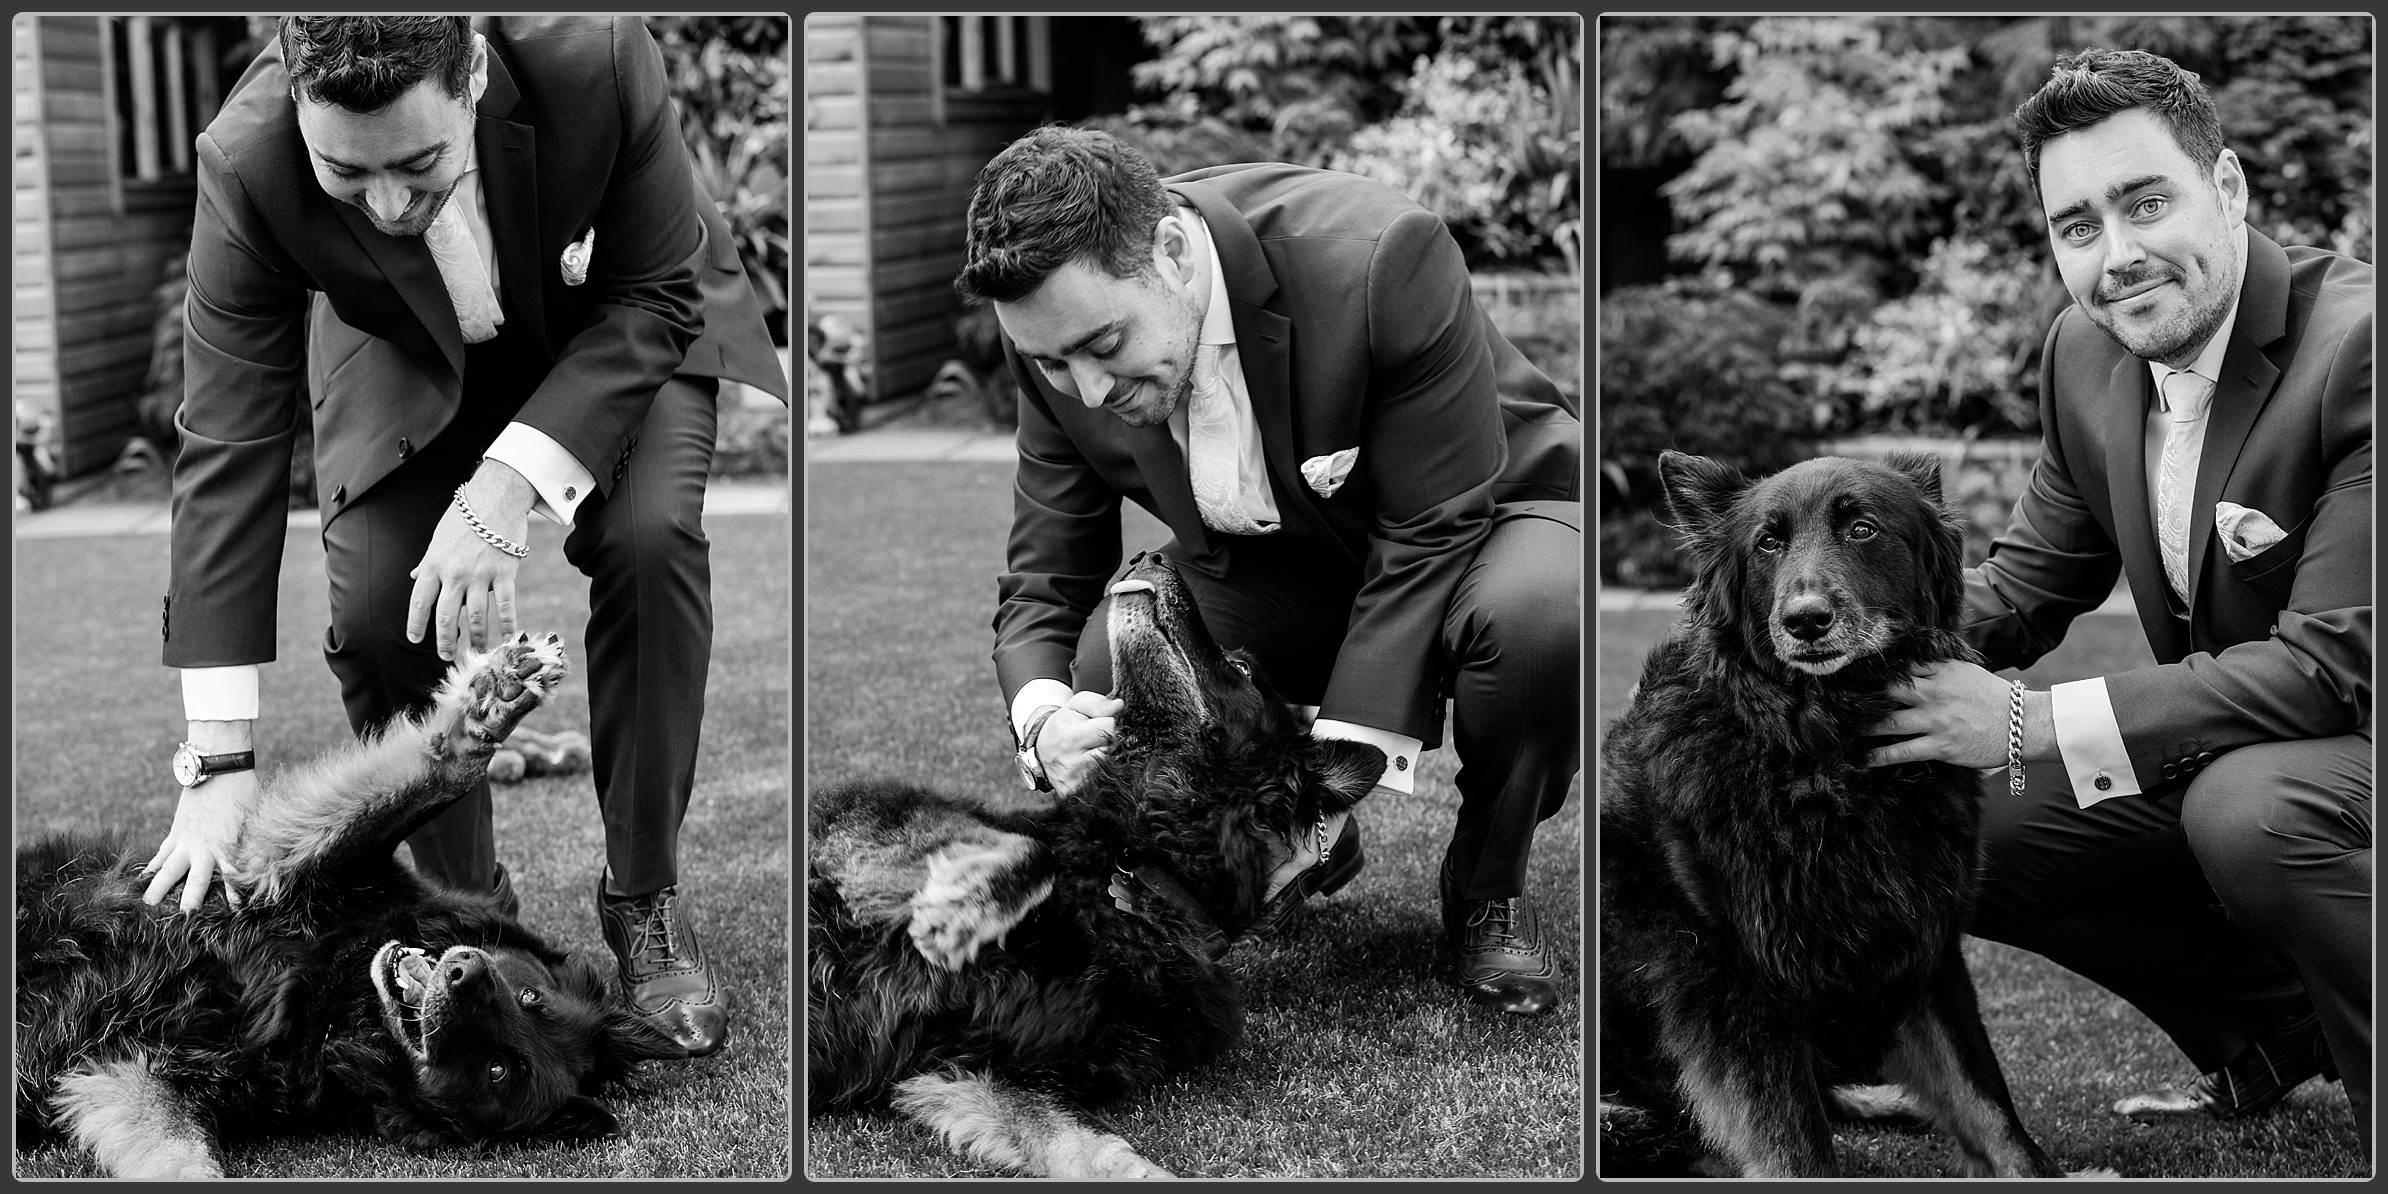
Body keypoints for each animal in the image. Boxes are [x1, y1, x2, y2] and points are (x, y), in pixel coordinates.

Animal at [11, 635, 682, 1174]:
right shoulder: (290, 868)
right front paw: (493, 702)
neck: (334, 994)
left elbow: (175, 1148)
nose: (465, 975)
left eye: (501, 1070)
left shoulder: (138, 1069)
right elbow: (439, 774)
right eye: (529, 995)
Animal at [811, 549, 1394, 1174]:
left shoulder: (957, 1066)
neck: (1134, 866)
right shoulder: (852, 815)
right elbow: (1028, 849)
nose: (1148, 555)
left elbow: (1086, 1143)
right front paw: (958, 912)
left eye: (1239, 668)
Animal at [1595, 453, 2082, 1174]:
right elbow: (1796, 1144)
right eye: (1767, 543)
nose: (1805, 620)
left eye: (1862, 528)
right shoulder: (1735, 989)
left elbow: (1988, 1106)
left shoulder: (1925, 949)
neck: (1825, 751)